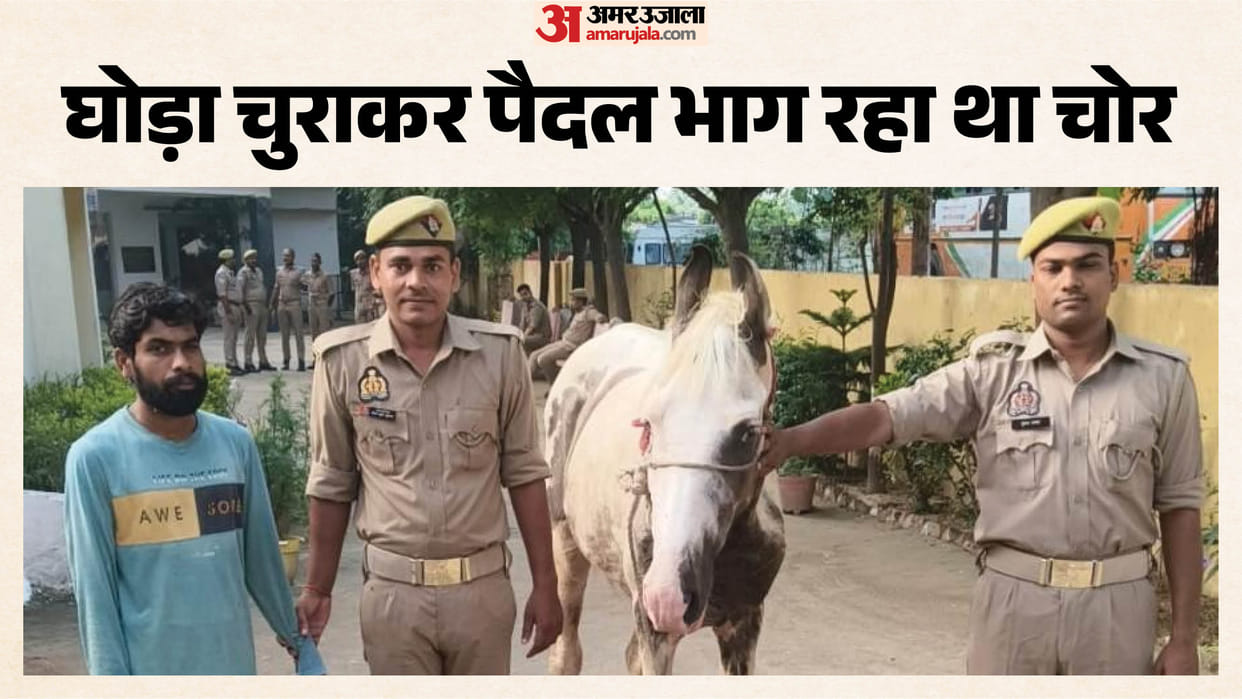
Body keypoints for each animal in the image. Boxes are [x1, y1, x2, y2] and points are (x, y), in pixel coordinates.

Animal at [543, 246, 786, 675]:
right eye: (649, 423)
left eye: (749, 432)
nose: (669, 596)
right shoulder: (655, 630)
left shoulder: (744, 622)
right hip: (566, 543)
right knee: (566, 652)